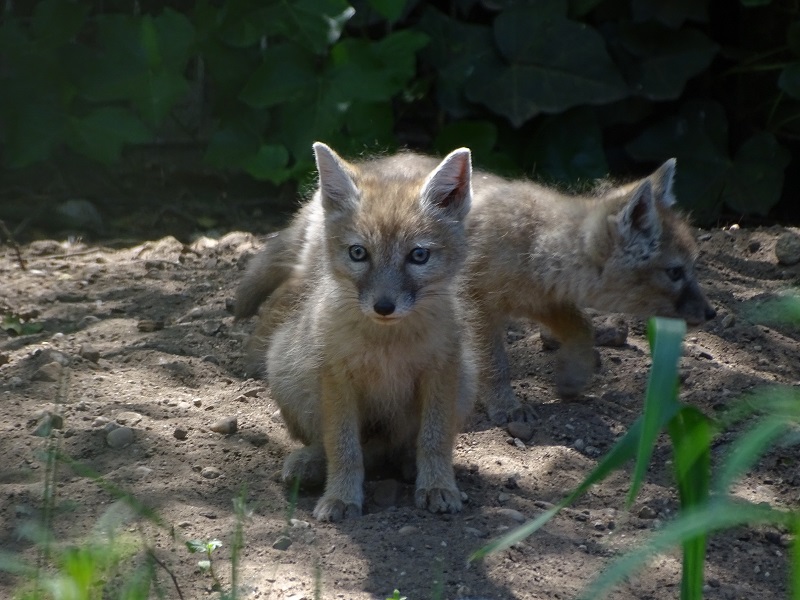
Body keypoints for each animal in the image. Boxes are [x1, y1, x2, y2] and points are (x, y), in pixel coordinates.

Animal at [236, 156, 715, 427]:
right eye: (675, 273)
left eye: (692, 267)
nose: (711, 315)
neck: (536, 242)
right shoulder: (480, 305)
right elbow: (495, 365)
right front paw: (507, 409)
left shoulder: (542, 300)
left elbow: (582, 329)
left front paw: (572, 378)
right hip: (323, 279)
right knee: (280, 301)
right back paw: (257, 357)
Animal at [255, 142, 477, 522]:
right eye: (358, 253)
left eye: (419, 256)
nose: (383, 306)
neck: (386, 346)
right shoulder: (337, 379)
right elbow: (344, 448)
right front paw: (341, 497)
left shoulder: (440, 373)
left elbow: (434, 440)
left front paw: (438, 486)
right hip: (285, 373)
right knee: (337, 446)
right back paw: (310, 463)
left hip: (465, 381)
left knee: (402, 447)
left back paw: (409, 465)